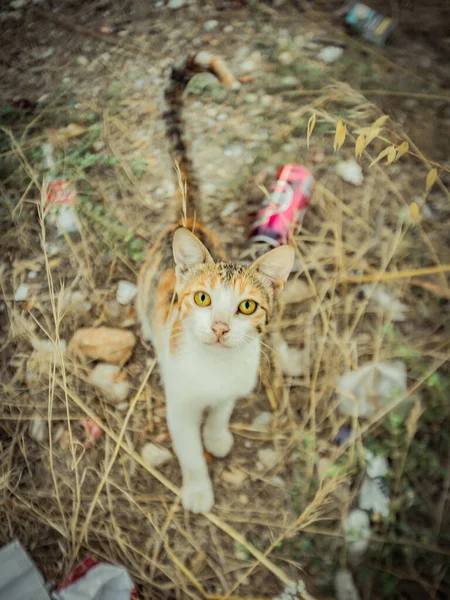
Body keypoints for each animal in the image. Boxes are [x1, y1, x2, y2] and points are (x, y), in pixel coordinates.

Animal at [135, 51, 296, 512]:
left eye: (247, 306)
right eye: (203, 299)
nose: (222, 327)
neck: (214, 369)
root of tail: (188, 219)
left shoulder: (235, 385)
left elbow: (223, 411)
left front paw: (218, 435)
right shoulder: (179, 408)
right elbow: (189, 451)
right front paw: (198, 490)